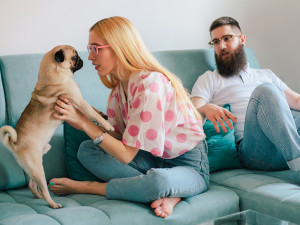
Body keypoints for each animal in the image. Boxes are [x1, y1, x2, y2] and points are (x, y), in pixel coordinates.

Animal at [0, 44, 113, 208]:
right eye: (74, 56)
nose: (82, 59)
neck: (56, 73)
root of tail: (15, 143)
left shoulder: (78, 101)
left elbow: (93, 109)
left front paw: (103, 114)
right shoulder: (78, 101)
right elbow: (92, 114)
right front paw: (106, 125)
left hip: (34, 166)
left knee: (31, 185)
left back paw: (37, 196)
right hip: (37, 168)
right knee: (44, 188)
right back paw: (53, 204)